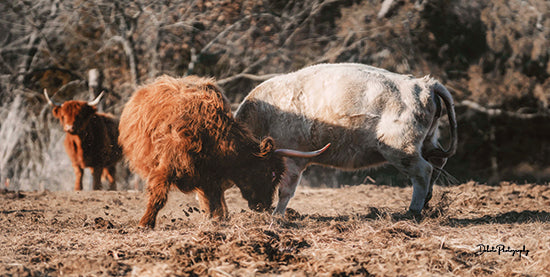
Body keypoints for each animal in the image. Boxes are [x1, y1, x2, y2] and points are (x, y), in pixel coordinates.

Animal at [118, 75, 330, 226]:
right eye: (269, 174)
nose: (264, 206)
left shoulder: (210, 178)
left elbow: (214, 201)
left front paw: (217, 220)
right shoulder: (165, 168)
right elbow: (158, 197)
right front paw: (145, 223)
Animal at [235, 62, 460, 216]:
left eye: (258, 171)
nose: (258, 206)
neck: (265, 113)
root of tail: (424, 84)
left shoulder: (293, 160)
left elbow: (285, 191)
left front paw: (277, 216)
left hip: (401, 149)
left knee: (423, 171)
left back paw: (413, 211)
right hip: (427, 143)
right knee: (437, 162)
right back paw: (427, 203)